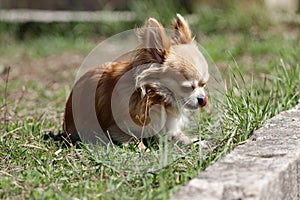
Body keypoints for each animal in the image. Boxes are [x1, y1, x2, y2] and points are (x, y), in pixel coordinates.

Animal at [63, 14, 209, 145]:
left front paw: (193, 141)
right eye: (187, 88)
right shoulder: (116, 129)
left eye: (203, 85)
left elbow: (176, 135)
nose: (203, 99)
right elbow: (133, 139)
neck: (155, 98)